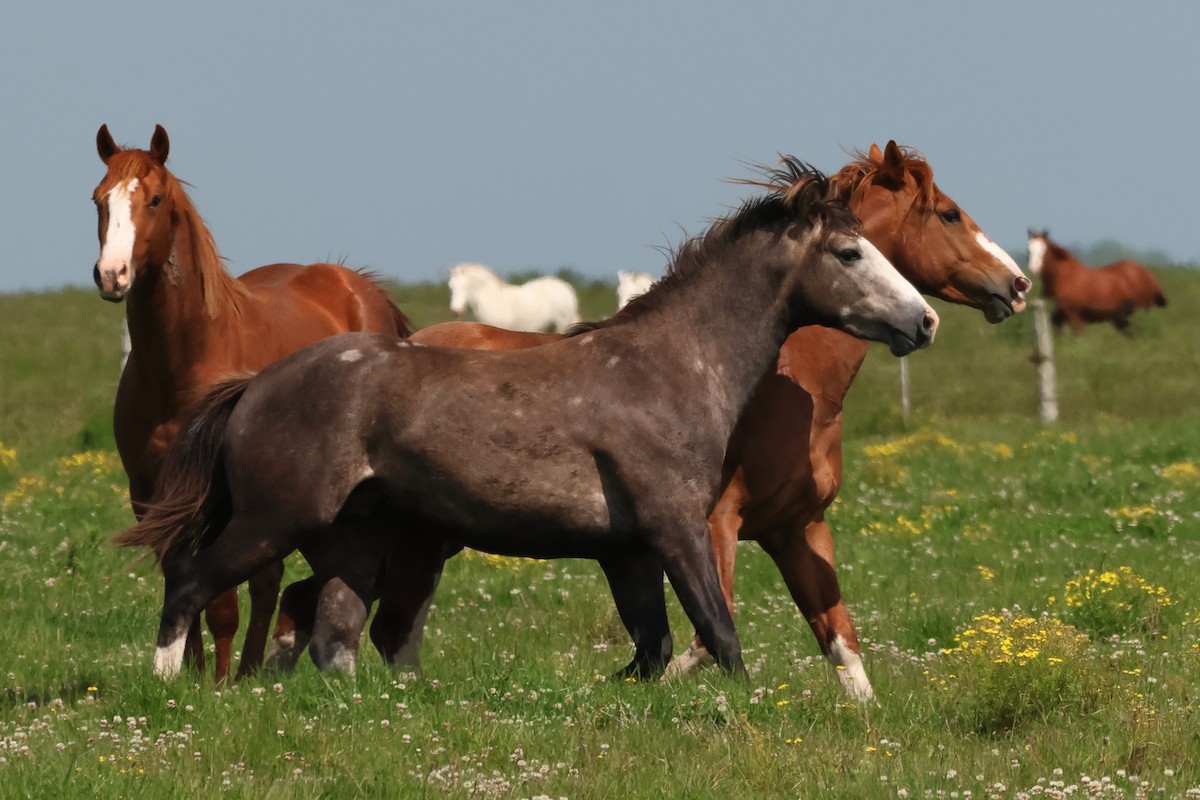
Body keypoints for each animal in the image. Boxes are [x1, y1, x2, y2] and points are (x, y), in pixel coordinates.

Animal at [93, 124, 412, 683]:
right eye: (97, 200)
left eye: (154, 199)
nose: (112, 275)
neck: (183, 362)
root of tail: (354, 284)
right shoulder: (151, 495)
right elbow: (181, 578)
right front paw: (190, 672)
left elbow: (221, 600)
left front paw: (219, 681)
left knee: (268, 580)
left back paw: (249, 671)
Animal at [448, 262, 581, 332]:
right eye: (451, 286)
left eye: (465, 286)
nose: (456, 310)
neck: (492, 300)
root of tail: (564, 287)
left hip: (561, 326)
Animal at [1026, 229, 1166, 332]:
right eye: (1029, 249)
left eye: (1044, 249)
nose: (1033, 268)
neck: (1063, 278)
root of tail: (1148, 274)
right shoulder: (1059, 315)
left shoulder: (1075, 316)